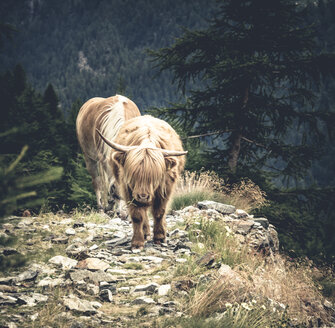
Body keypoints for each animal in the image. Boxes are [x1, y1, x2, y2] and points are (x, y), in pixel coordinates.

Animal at [97, 114, 188, 249]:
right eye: (133, 175)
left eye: (155, 177)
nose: (143, 196)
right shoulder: (129, 190)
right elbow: (137, 216)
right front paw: (137, 242)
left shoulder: (165, 189)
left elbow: (159, 212)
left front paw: (160, 237)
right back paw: (145, 233)